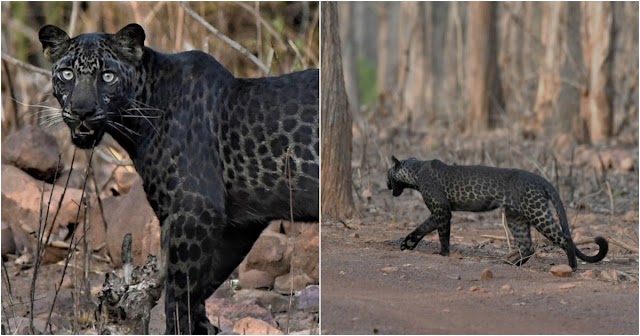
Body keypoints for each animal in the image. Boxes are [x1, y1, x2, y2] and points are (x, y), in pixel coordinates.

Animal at [40, 23, 320, 334]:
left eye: (108, 76)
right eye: (67, 73)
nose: (82, 111)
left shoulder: (195, 211)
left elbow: (178, 289)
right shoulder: (236, 224)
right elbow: (200, 286)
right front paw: (204, 327)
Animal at [388, 156, 608, 270]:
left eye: (388, 174)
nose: (387, 184)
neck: (415, 171)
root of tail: (541, 179)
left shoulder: (442, 209)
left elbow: (442, 233)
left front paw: (443, 253)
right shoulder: (439, 211)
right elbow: (424, 226)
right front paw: (408, 243)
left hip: (536, 212)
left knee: (564, 238)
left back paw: (571, 267)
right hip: (516, 218)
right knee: (528, 246)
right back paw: (511, 264)